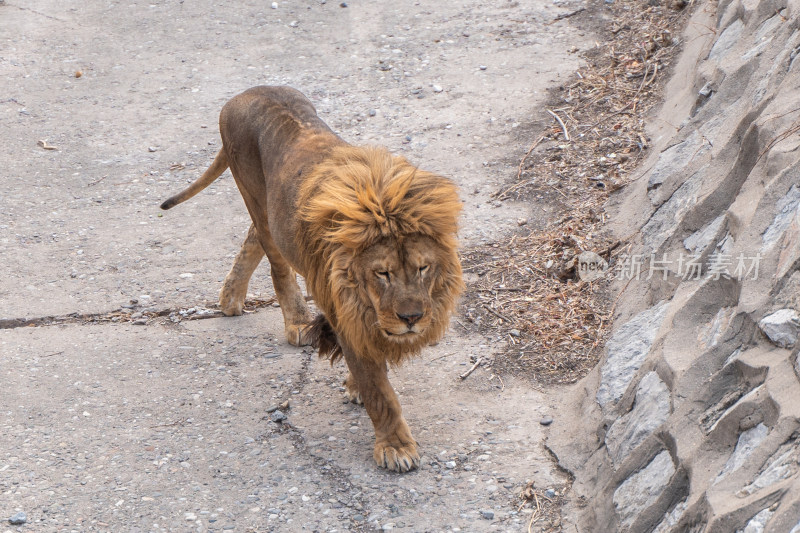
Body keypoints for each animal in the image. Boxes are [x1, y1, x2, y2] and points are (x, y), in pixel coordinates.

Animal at [159, 85, 462, 472]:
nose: (412, 319)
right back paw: (296, 322)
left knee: (252, 238)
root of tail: (245, 93)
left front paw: (355, 386)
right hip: (256, 198)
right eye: (383, 273)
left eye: (423, 268)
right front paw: (395, 445)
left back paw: (230, 298)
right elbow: (379, 391)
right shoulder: (344, 311)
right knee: (275, 260)